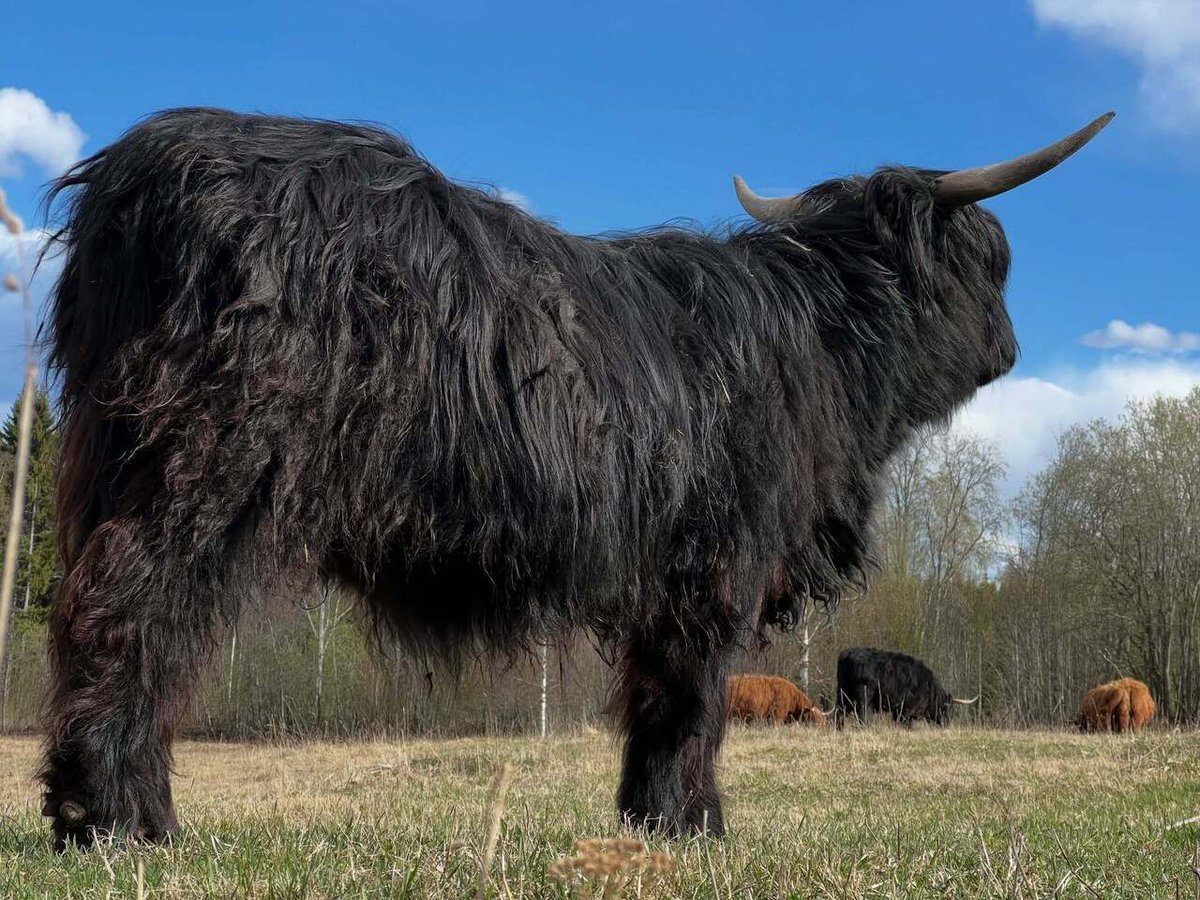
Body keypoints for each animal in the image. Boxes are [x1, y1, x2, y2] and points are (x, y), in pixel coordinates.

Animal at [834, 647, 977, 727]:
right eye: (947, 710)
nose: (946, 724)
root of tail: (848, 654)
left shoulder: (898, 711)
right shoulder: (906, 710)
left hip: (842, 692)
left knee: (839, 711)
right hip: (863, 694)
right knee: (860, 712)